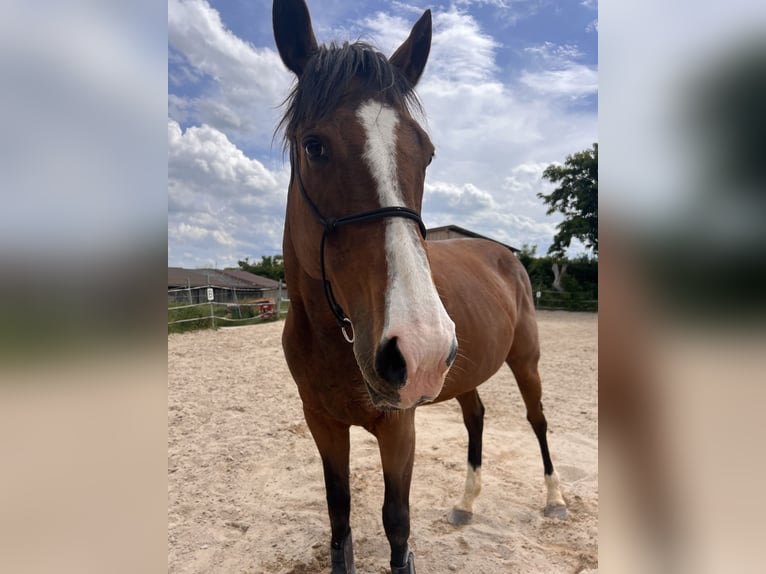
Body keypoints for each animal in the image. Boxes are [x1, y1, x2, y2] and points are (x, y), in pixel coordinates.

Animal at [272, 1, 567, 572]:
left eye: (425, 152)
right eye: (314, 146)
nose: (420, 348)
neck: (333, 338)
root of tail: (506, 255)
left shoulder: (398, 429)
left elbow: (397, 528)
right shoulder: (321, 424)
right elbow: (340, 519)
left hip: (525, 360)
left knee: (537, 419)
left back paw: (555, 498)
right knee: (476, 418)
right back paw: (466, 503)